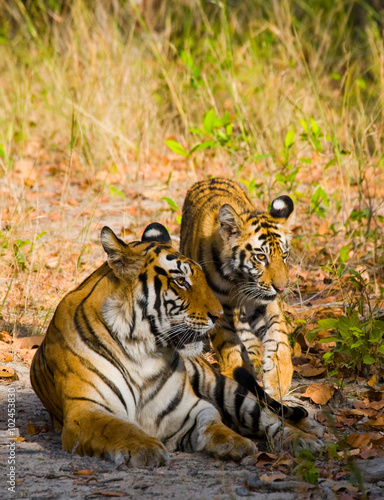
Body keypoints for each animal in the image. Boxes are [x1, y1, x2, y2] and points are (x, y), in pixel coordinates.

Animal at [31, 225, 322, 466]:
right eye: (181, 281)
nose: (219, 315)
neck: (143, 352)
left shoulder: (191, 409)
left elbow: (214, 424)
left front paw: (235, 443)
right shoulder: (86, 409)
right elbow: (118, 428)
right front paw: (146, 448)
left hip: (228, 389)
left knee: (272, 417)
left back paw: (307, 438)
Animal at [180, 176, 294, 398]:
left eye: (284, 256)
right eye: (261, 257)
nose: (282, 289)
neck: (238, 279)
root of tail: (209, 178)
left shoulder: (261, 301)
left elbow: (278, 333)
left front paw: (279, 378)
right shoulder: (216, 307)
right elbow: (226, 342)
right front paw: (236, 372)